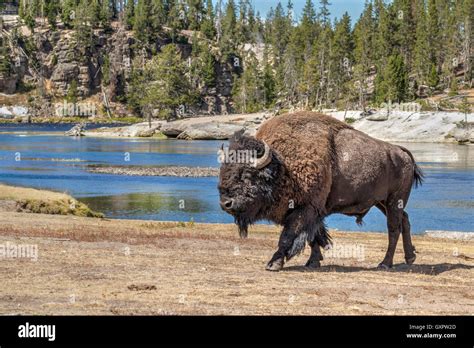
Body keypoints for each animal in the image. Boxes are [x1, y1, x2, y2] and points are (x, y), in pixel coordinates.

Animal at [217, 113, 424, 270]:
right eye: (223, 171)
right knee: (404, 220)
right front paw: (313, 261)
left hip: (394, 200)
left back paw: (385, 263)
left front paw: (273, 263)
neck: (282, 166)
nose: (226, 203)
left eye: (246, 174)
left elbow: (288, 237)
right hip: (382, 202)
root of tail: (402, 152)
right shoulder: (311, 212)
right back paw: (410, 257)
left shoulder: (305, 209)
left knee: (393, 228)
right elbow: (314, 237)